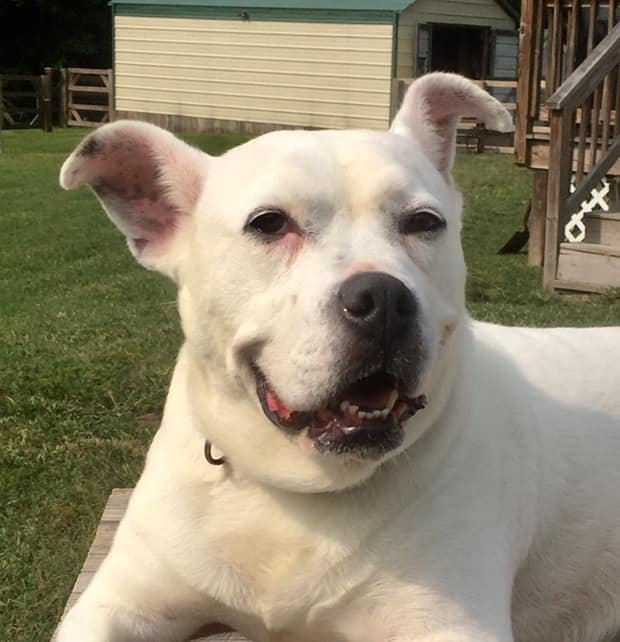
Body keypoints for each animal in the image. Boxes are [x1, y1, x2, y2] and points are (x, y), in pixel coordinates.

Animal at [54, 72, 620, 636]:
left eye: (424, 222)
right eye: (268, 223)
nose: (383, 299)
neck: (296, 490)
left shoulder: (451, 624)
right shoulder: (117, 603)